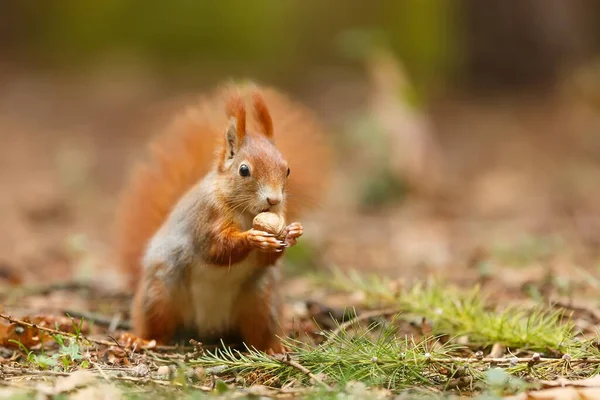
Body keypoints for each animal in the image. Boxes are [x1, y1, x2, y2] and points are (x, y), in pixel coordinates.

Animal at [113, 82, 332, 354]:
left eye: (288, 169)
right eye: (244, 170)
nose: (273, 200)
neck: (248, 212)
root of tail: (209, 327)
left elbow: (267, 259)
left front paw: (292, 234)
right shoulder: (205, 220)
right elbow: (215, 249)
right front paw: (253, 238)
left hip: (261, 301)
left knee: (258, 334)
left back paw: (272, 349)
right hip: (160, 292)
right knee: (157, 327)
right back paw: (140, 339)